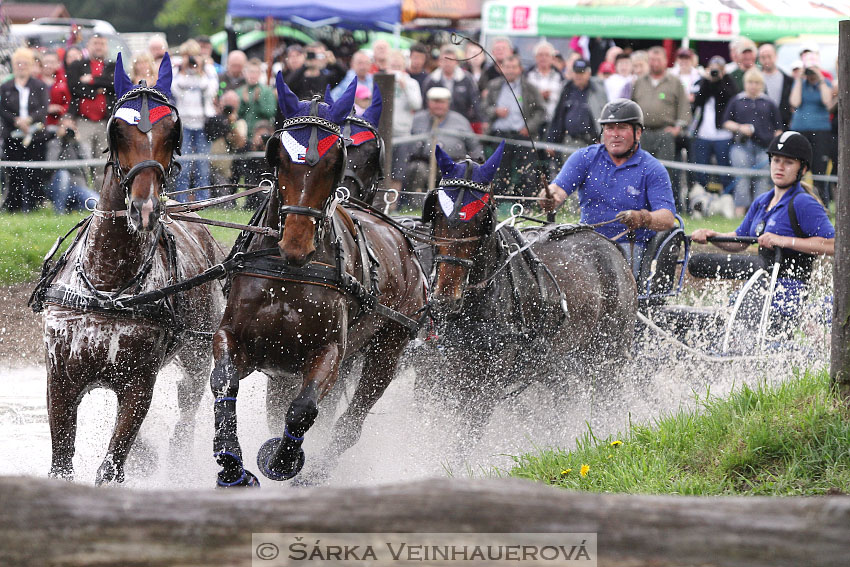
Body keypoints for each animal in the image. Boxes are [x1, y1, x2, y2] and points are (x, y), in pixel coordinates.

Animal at [30, 53, 225, 486]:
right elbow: (61, 465)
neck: (107, 285)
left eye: (173, 132)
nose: (145, 207)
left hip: (197, 355)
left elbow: (110, 467)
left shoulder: (138, 386)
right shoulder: (60, 381)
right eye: (118, 128)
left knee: (186, 413)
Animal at [210, 72, 428, 488]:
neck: (289, 272)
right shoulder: (241, 341)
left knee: (350, 423)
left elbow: (304, 408)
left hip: (386, 352)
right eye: (276, 154)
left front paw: (282, 460)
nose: (296, 243)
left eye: (334, 161)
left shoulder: (328, 353)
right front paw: (231, 464)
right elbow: (224, 383)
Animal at [414, 144, 632, 450]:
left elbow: (463, 446)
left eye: (482, 219)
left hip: (608, 358)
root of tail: (609, 245)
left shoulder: (483, 390)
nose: (445, 298)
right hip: (553, 364)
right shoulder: (430, 380)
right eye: (436, 214)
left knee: (605, 401)